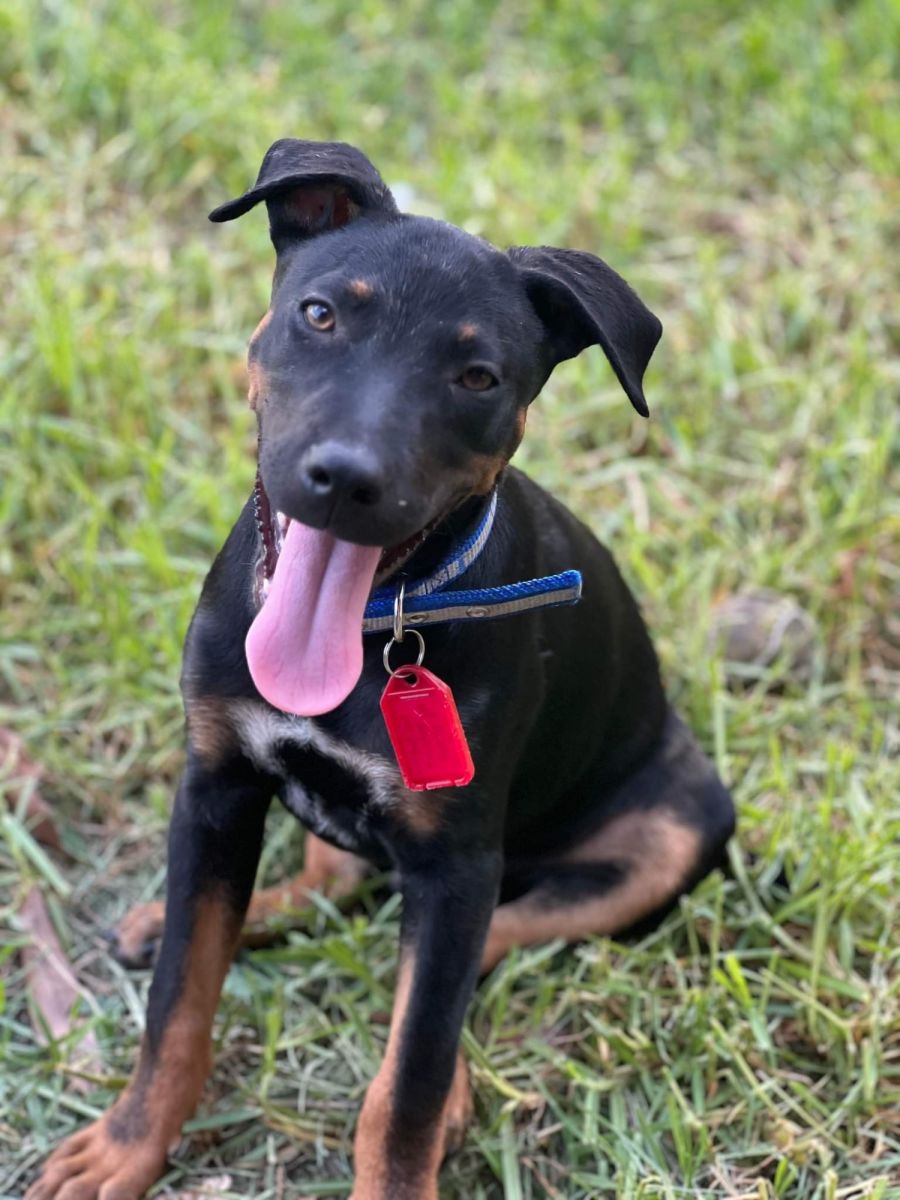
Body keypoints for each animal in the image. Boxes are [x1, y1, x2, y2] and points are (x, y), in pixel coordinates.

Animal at [28, 139, 735, 1200]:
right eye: (320, 314)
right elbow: (178, 1006)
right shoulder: (214, 786)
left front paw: (411, 1137)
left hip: (667, 836)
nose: (346, 478)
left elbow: (407, 1082)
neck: (375, 629)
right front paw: (124, 1146)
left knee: (481, 953)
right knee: (333, 881)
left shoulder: (455, 867)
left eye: (479, 376)